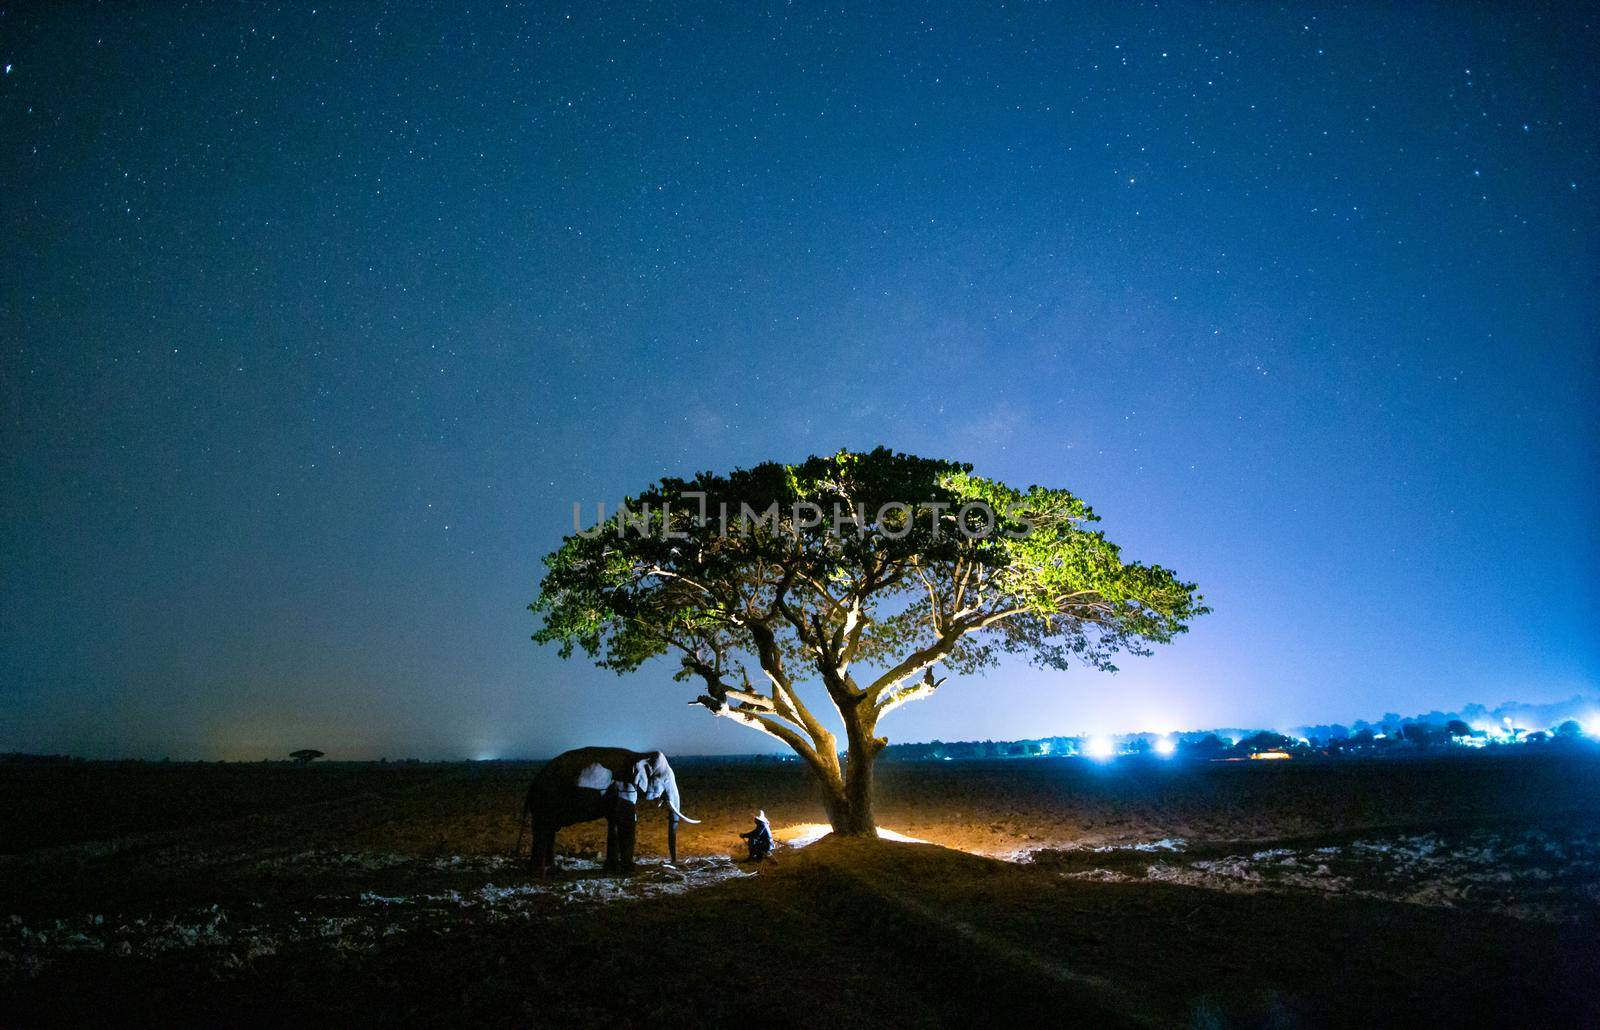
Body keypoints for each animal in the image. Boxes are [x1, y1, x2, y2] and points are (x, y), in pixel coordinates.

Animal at [524, 745, 700, 870]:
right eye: (666, 781)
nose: (670, 863)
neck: (639, 755)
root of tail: (532, 785)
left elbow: (614, 819)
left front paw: (611, 867)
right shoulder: (624, 785)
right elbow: (627, 818)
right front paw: (630, 869)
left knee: (548, 831)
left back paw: (551, 869)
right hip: (546, 800)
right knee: (542, 829)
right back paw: (539, 872)